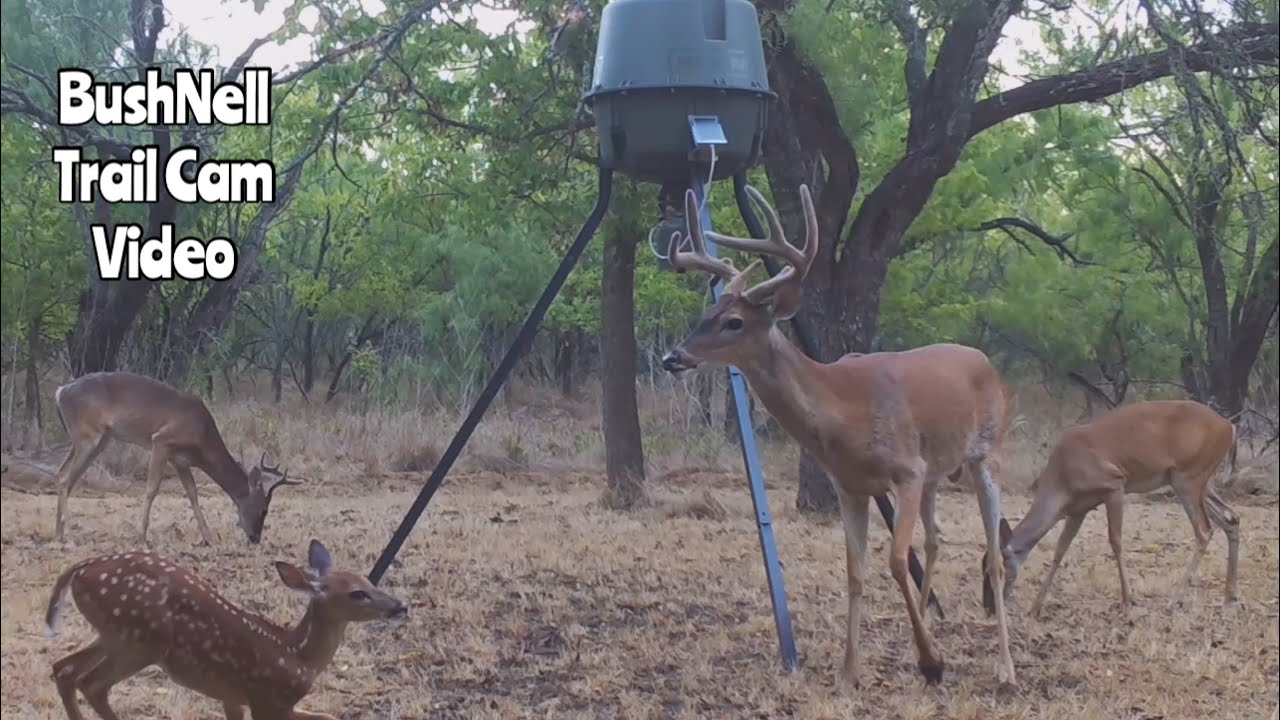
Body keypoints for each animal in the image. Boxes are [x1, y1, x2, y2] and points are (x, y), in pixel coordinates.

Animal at [44, 538, 408, 720]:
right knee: (92, 684)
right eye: (357, 593)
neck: (298, 654)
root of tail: (80, 569)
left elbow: (329, 717)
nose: (400, 606)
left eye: (369, 581)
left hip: (112, 634)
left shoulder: (234, 698)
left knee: (64, 669)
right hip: (140, 638)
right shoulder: (266, 701)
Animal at [52, 371, 299, 545]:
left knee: (64, 475)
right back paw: (69, 534)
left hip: (97, 439)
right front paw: (142, 537)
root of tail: (60, 392)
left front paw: (209, 538)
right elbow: (151, 490)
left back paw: (59, 533)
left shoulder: (180, 460)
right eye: (264, 509)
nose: (255, 539)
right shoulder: (161, 441)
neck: (202, 435)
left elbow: (193, 494)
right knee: (64, 478)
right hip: (88, 435)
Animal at [659, 184, 1018, 688]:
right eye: (706, 311)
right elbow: (854, 571)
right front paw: (851, 670)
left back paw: (1005, 666)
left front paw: (932, 662)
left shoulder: (906, 470)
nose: (673, 357)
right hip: (935, 473)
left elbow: (894, 561)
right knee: (935, 539)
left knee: (994, 553)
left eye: (734, 322)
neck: (843, 416)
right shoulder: (849, 485)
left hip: (988, 452)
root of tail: (986, 362)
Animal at [982, 399, 1240, 619]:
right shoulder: (1078, 508)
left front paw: (1127, 600)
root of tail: (1229, 427)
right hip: (1199, 481)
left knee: (1204, 530)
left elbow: (1115, 541)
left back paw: (1174, 601)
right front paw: (1035, 607)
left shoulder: (1114, 484)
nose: (989, 608)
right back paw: (1229, 596)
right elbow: (1060, 550)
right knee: (1231, 518)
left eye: (994, 570)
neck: (1061, 477)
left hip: (1188, 477)